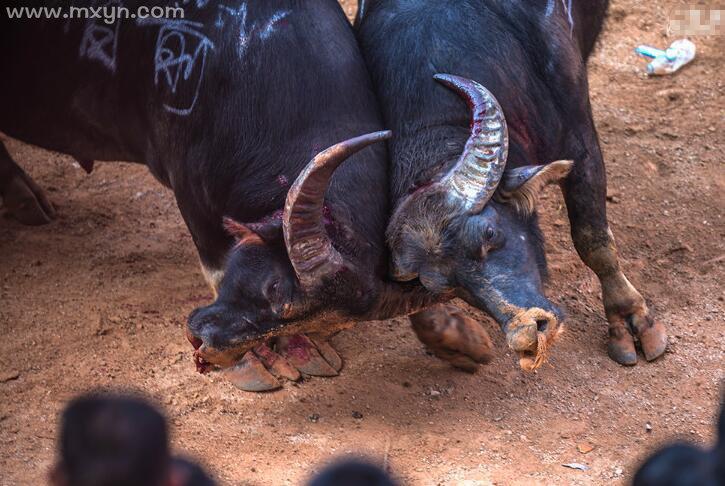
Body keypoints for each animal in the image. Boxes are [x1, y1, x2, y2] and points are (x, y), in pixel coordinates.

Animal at [356, 0, 668, 368]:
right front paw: (456, 342)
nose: (528, 335)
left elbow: (594, 241)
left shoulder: (581, 141)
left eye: (489, 233)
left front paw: (630, 319)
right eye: (445, 285)